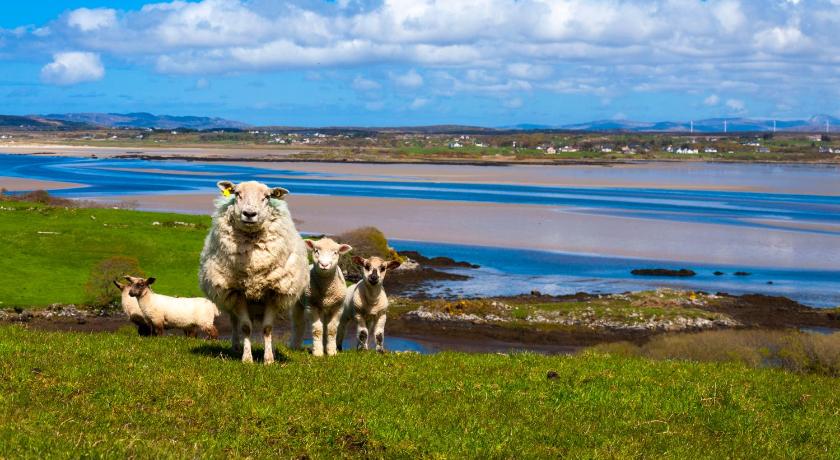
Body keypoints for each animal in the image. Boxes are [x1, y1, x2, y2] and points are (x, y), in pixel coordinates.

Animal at [199, 180, 310, 362]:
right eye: (237, 193)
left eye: (267, 196)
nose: (249, 214)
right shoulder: (237, 292)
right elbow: (245, 327)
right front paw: (247, 358)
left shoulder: (273, 291)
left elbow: (267, 328)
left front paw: (269, 358)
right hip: (228, 298)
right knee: (234, 321)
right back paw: (236, 347)